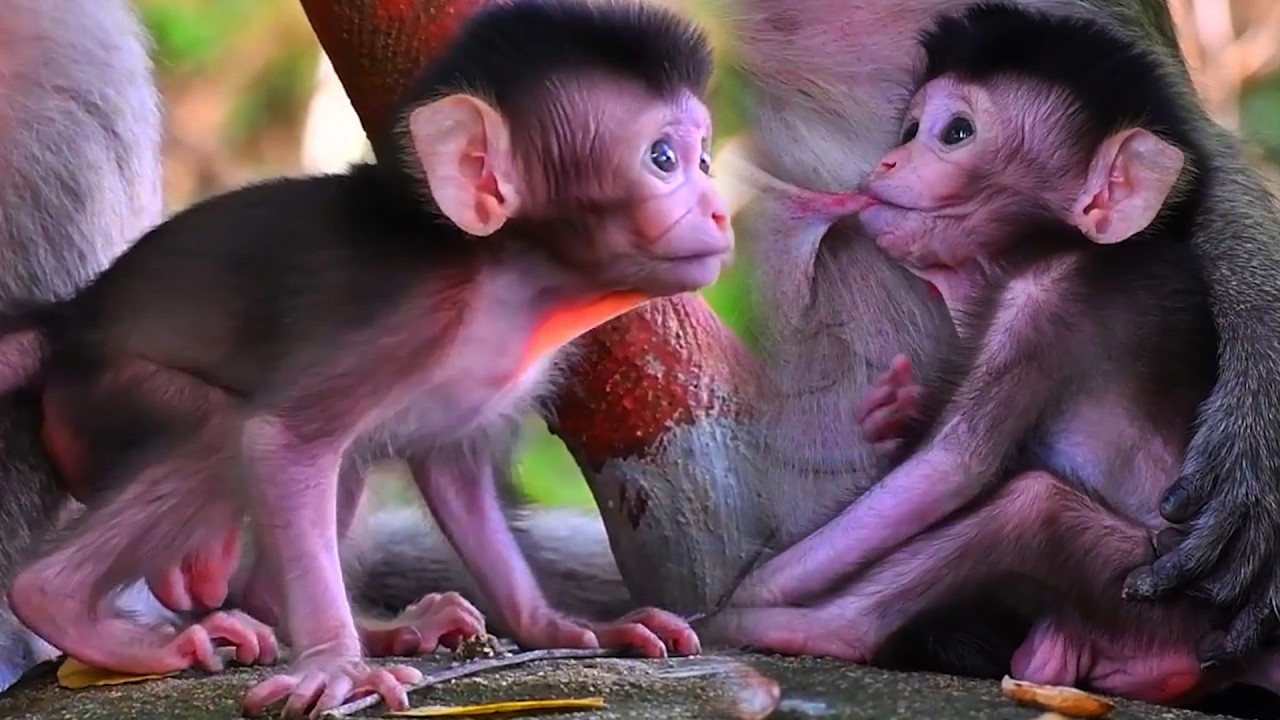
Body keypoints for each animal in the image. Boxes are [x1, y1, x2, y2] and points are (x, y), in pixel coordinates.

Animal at [0, 0, 730, 715]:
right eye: (663, 157)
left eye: (704, 161)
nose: (720, 212)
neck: (507, 278)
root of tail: (70, 319)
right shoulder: (412, 321)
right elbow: (280, 442)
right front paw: (336, 668)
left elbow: (456, 479)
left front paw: (563, 627)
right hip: (102, 398)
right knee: (218, 432)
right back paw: (72, 609)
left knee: (339, 462)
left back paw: (370, 627)